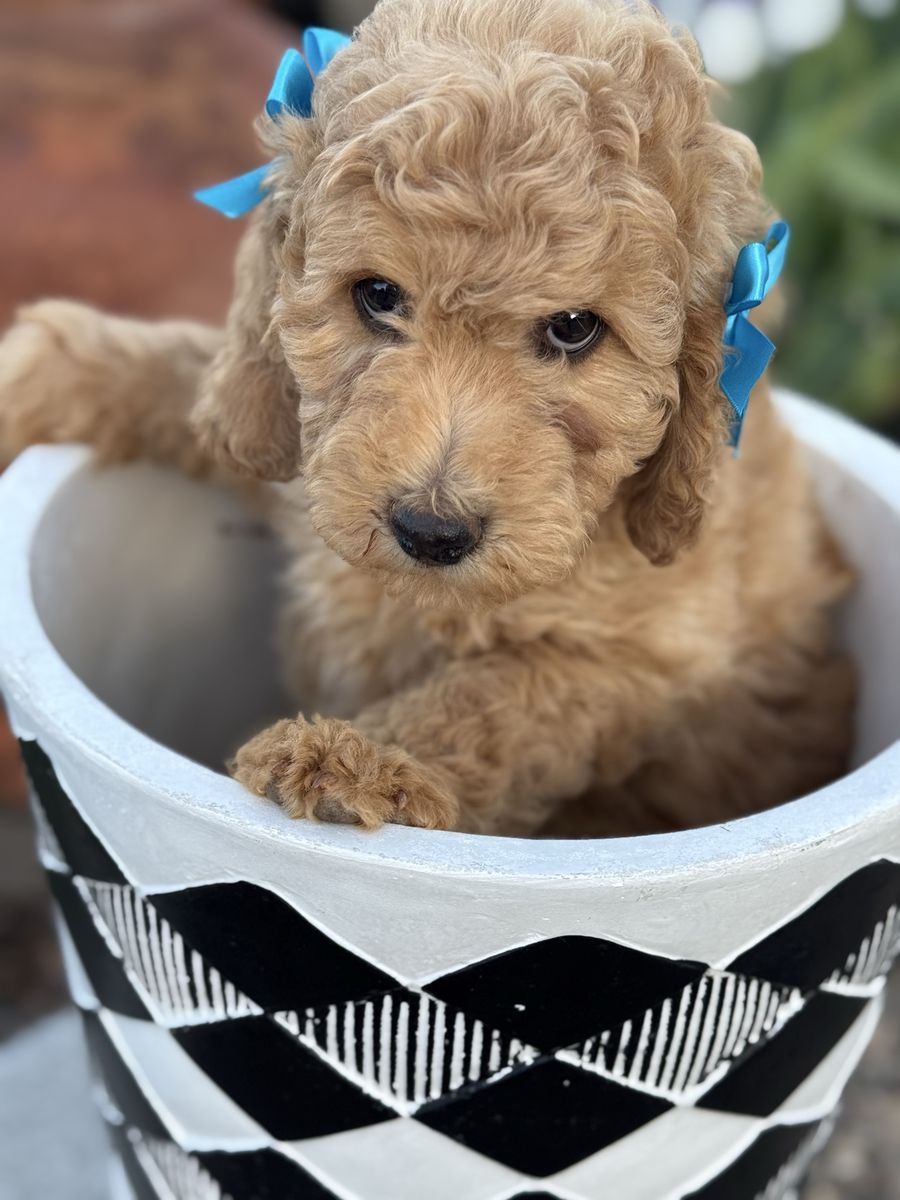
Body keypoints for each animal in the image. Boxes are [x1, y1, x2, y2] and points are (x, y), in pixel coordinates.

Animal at [0, 0, 854, 836]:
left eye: (575, 328)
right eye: (378, 295)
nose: (430, 531)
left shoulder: (644, 660)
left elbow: (494, 700)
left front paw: (363, 761)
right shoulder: (312, 453)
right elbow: (201, 383)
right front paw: (38, 375)